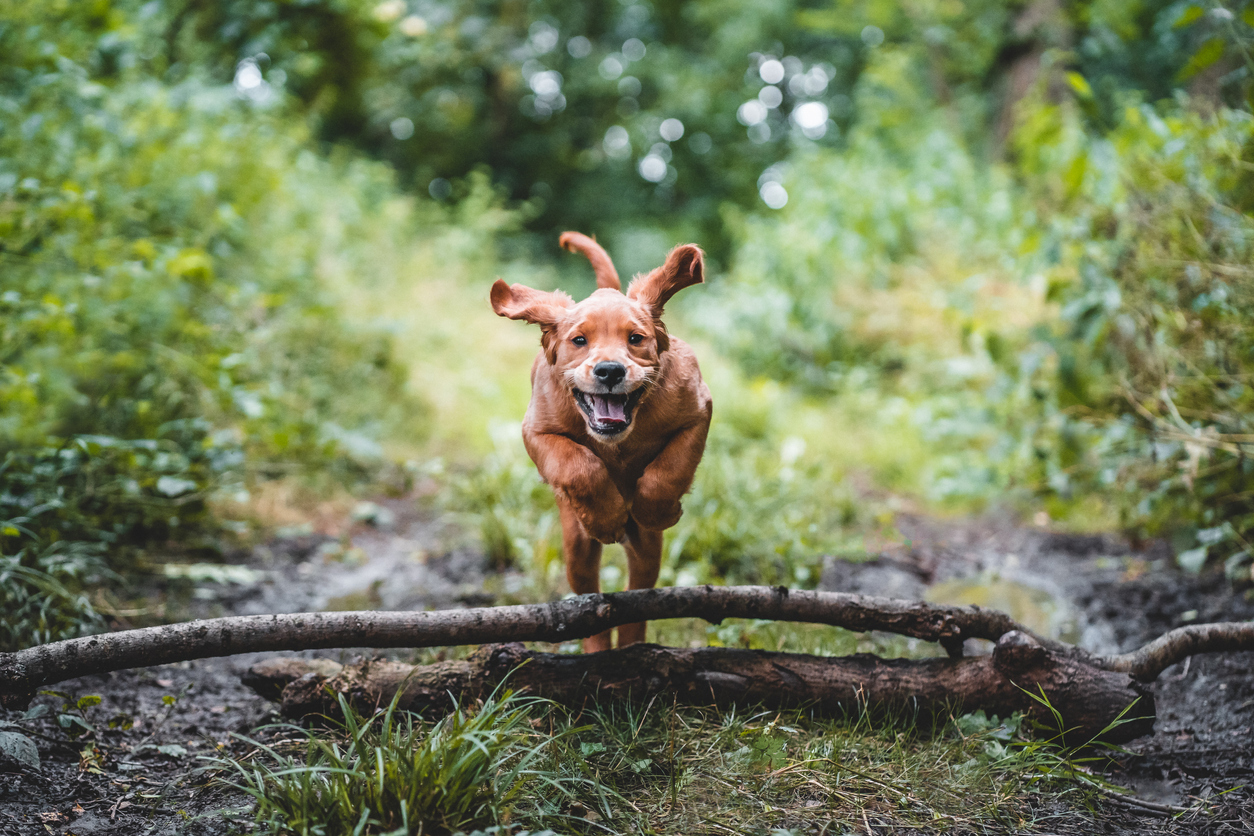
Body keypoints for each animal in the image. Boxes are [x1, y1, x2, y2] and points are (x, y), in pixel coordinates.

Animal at [489, 231, 712, 651]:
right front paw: (608, 518)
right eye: (579, 340)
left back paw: (633, 646)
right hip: (575, 545)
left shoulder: (698, 410)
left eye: (636, 339)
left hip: (647, 551)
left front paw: (657, 510)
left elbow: (670, 470)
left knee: (639, 597)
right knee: (590, 600)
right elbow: (579, 465)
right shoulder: (537, 430)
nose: (610, 370)